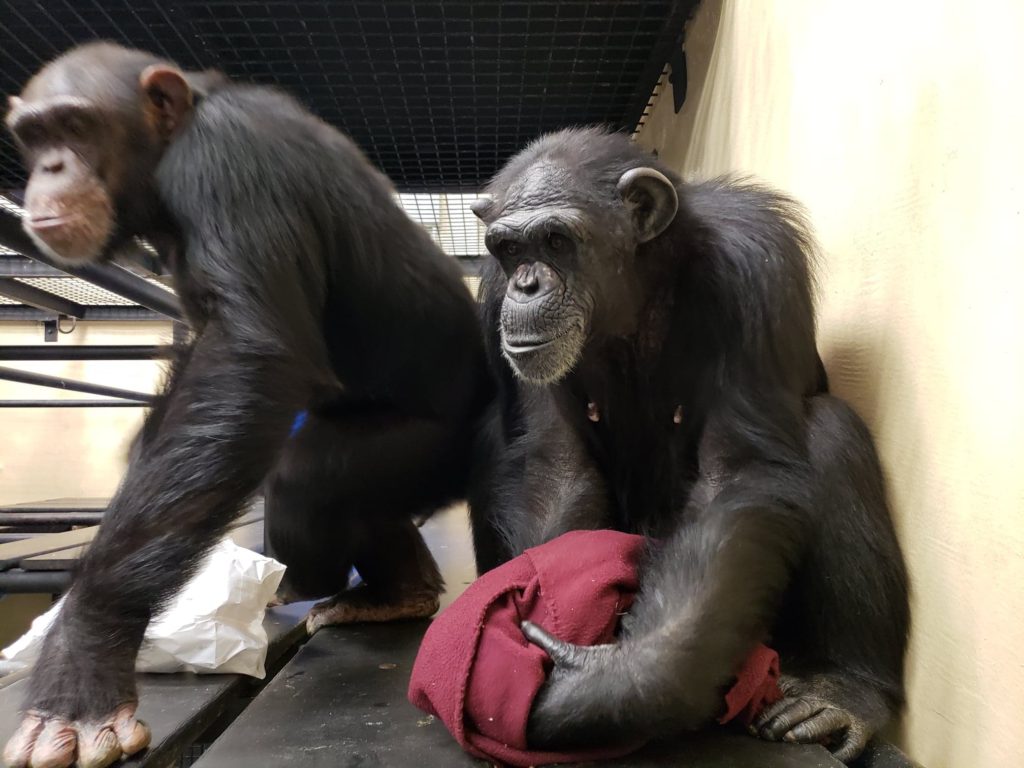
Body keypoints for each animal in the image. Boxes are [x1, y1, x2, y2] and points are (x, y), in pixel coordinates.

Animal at [1, 45, 491, 768]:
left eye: (77, 126)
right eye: (34, 138)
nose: (51, 168)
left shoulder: (225, 163)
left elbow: (245, 362)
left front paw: (82, 658)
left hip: (435, 452)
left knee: (303, 476)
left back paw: (302, 583)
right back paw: (397, 596)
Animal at [468, 128, 909, 765]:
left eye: (555, 240)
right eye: (506, 249)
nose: (527, 284)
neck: (634, 290)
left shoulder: (758, 264)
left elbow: (736, 472)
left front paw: (608, 685)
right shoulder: (496, 299)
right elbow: (557, 466)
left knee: (832, 432)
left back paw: (843, 693)